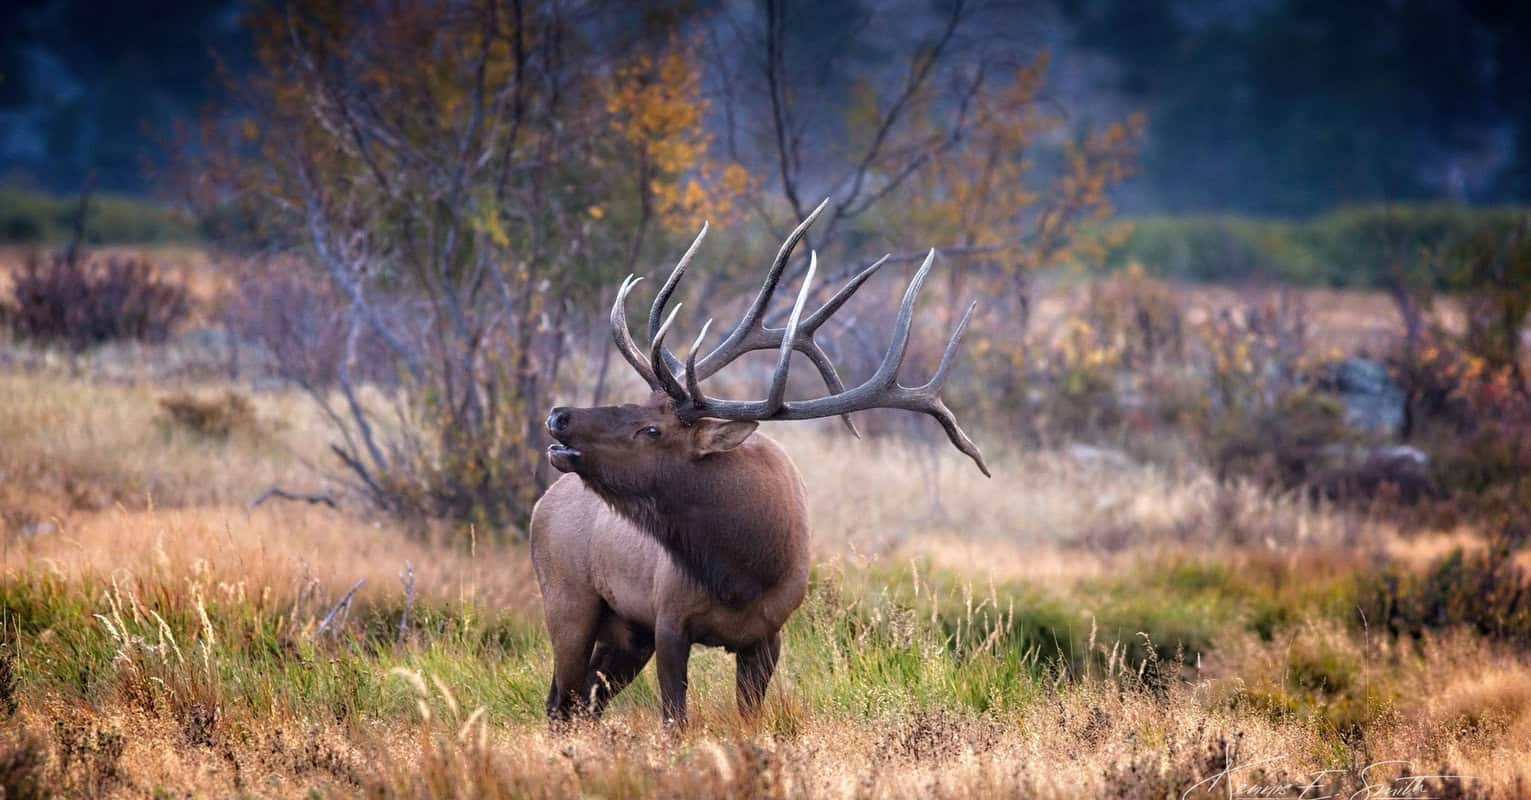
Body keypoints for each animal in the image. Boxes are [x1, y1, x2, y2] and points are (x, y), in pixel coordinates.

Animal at [530, 200, 989, 727]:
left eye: (651, 429)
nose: (559, 416)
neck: (743, 568)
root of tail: (540, 505)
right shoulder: (669, 618)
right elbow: (674, 718)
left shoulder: (767, 633)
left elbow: (748, 714)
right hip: (568, 599)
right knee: (560, 701)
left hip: (624, 628)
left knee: (582, 699)